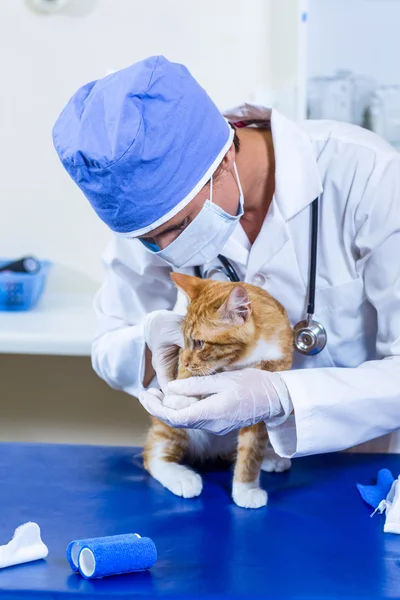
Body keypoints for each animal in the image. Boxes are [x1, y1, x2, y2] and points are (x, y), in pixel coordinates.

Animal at [144, 274, 294, 508]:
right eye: (184, 340)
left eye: (199, 342)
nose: (185, 362)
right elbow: (187, 377)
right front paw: (179, 396)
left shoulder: (265, 397)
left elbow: (251, 449)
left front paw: (245, 488)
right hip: (169, 430)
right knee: (153, 454)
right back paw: (180, 476)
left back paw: (270, 457)